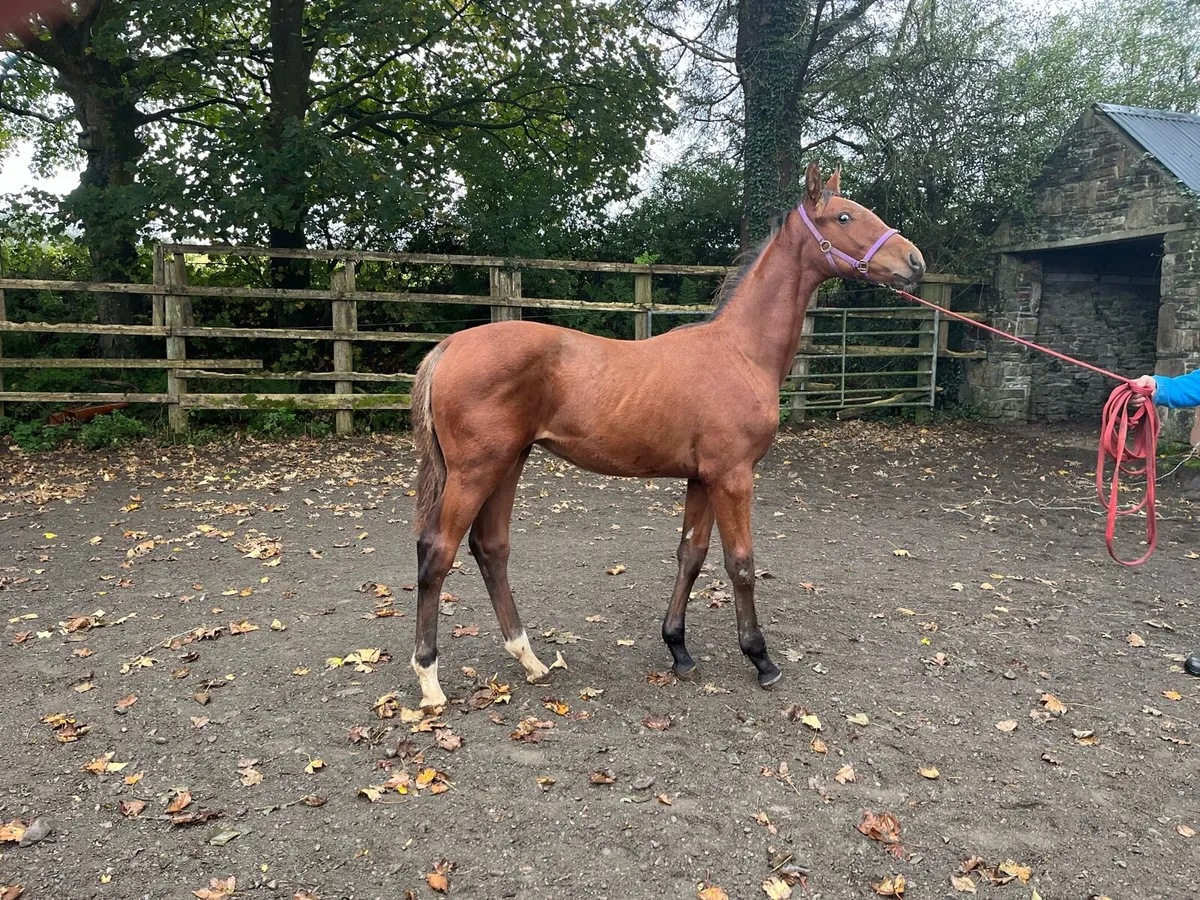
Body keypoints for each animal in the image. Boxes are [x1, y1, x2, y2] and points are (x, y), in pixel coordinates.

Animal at [407, 162, 925, 708]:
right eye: (844, 216)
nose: (914, 261)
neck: (741, 352)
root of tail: (447, 347)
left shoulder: (702, 478)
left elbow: (690, 556)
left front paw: (678, 650)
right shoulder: (733, 477)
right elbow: (741, 563)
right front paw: (761, 659)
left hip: (509, 463)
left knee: (491, 549)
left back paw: (529, 660)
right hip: (476, 470)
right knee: (436, 553)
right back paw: (430, 680)